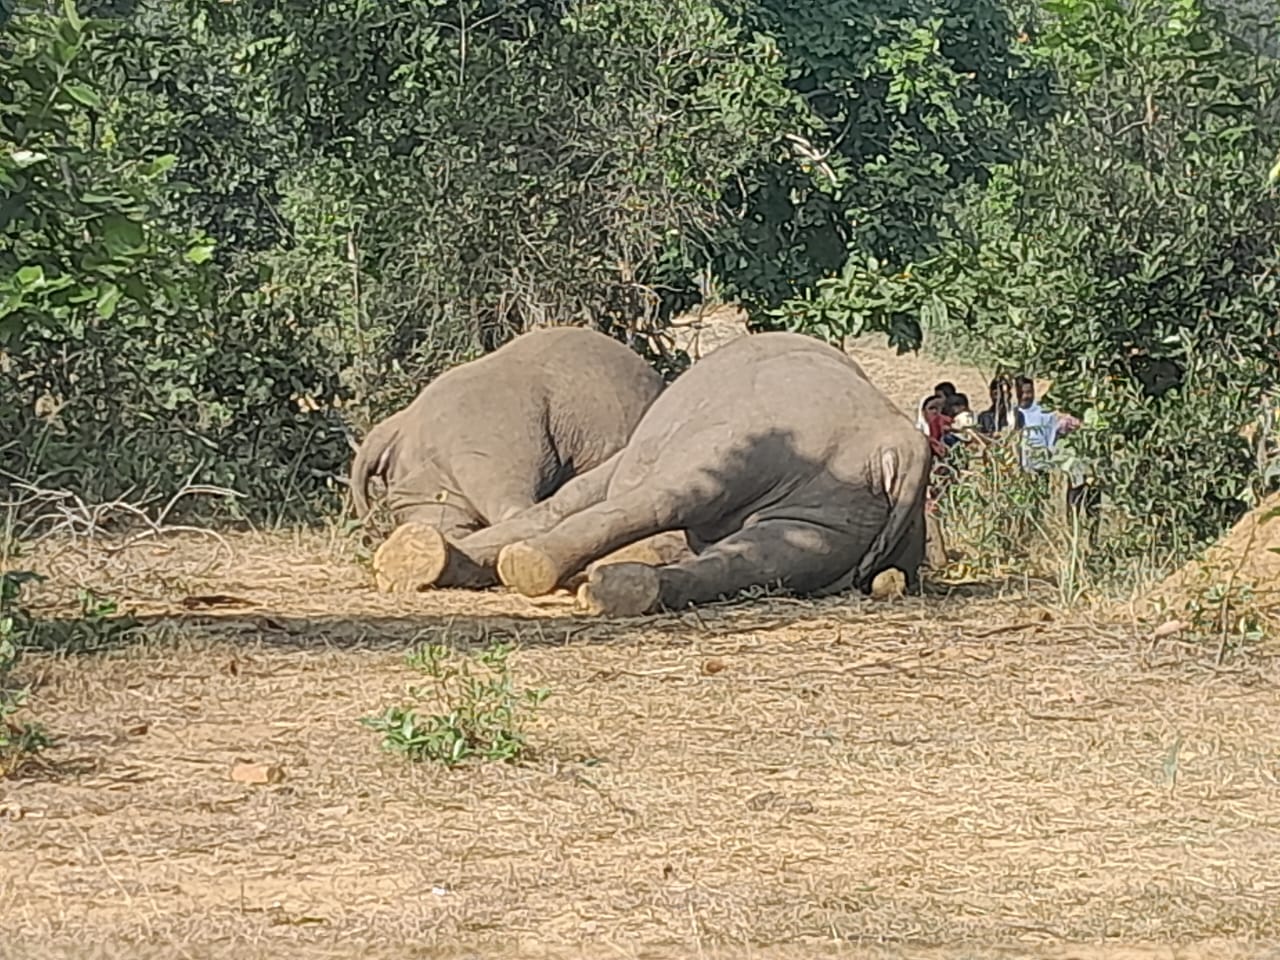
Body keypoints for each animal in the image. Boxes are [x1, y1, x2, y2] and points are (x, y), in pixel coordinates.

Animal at [394, 330, 936, 616]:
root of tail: (901, 443)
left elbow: (569, 500)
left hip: (764, 435)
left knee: (674, 495)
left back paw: (535, 567)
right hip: (834, 507)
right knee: (763, 559)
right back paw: (618, 588)